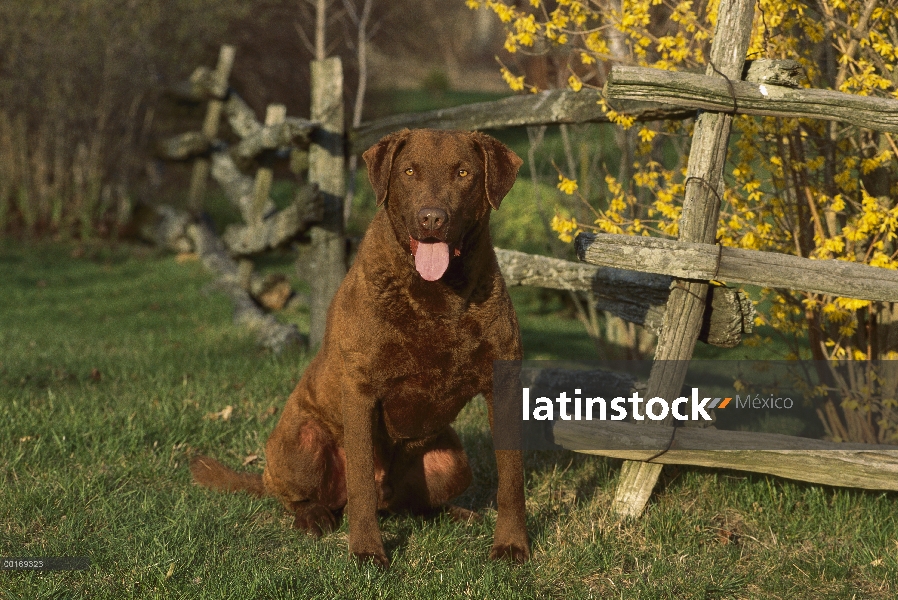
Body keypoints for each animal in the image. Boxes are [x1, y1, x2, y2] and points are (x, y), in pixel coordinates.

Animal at [189, 127, 524, 568]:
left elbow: (511, 479)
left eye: (464, 172)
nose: (432, 218)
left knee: (412, 505)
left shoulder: (503, 383)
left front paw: (513, 544)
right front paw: (366, 550)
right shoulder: (362, 391)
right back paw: (313, 516)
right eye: (409, 171)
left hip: (452, 462)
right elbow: (361, 482)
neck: (437, 297)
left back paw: (453, 512)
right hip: (302, 441)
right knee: (305, 496)